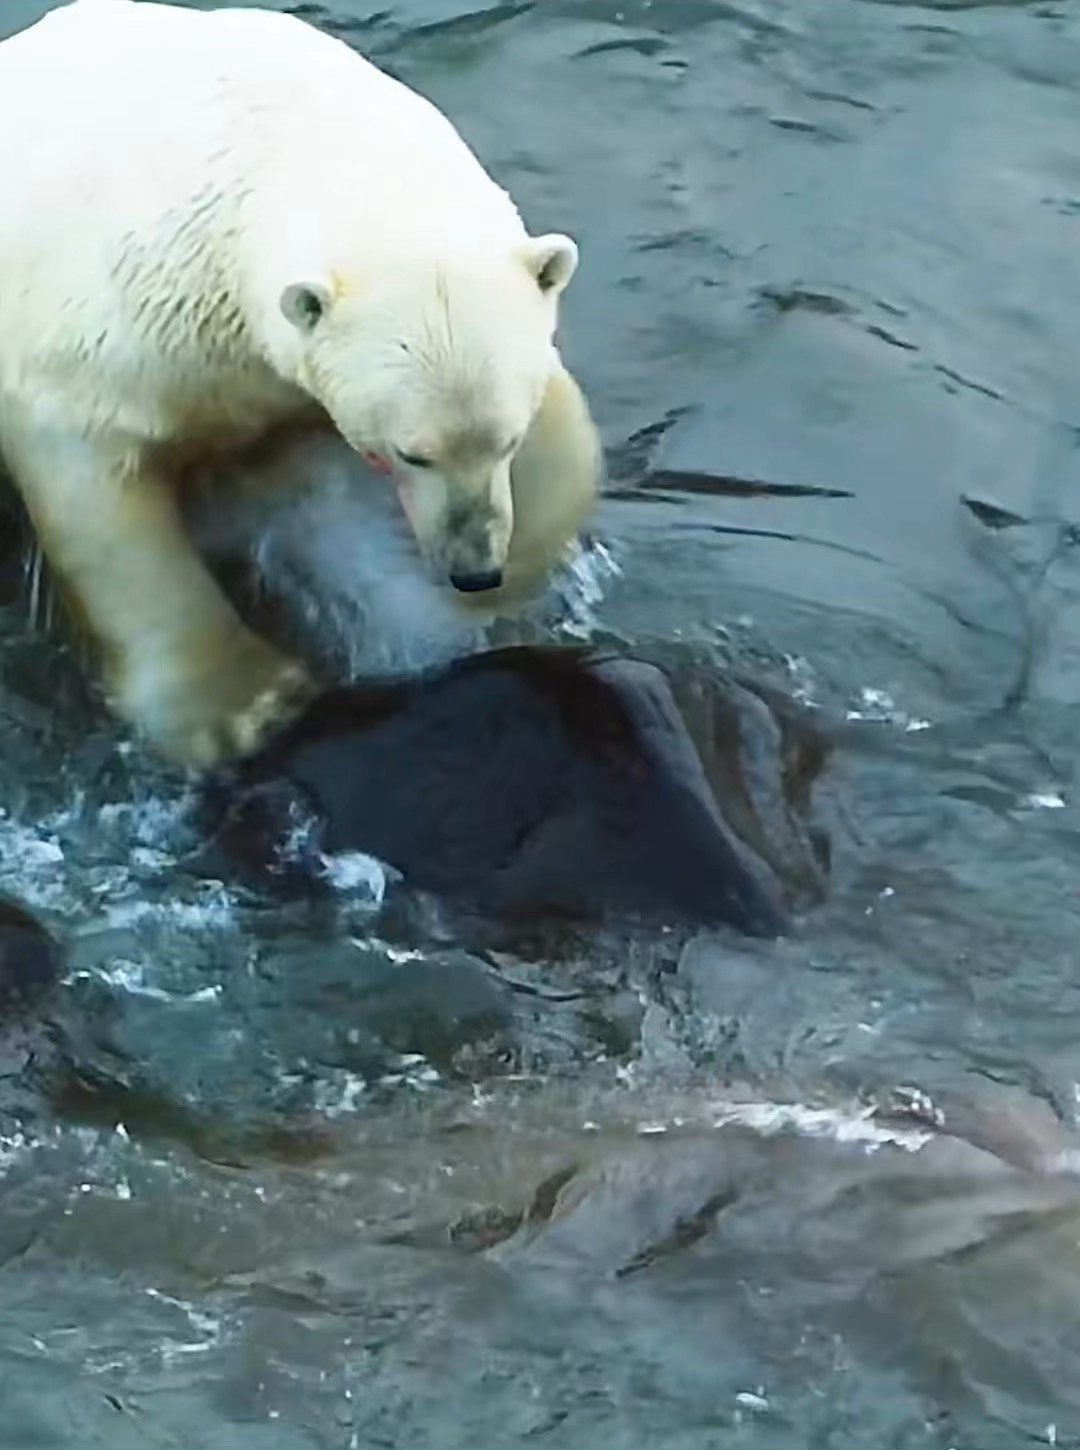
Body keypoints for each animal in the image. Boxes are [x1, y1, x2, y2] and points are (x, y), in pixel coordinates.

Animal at [0, 0, 597, 771]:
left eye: (506, 440)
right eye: (408, 453)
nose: (473, 569)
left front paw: (516, 571)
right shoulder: (98, 339)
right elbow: (104, 508)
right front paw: (246, 707)